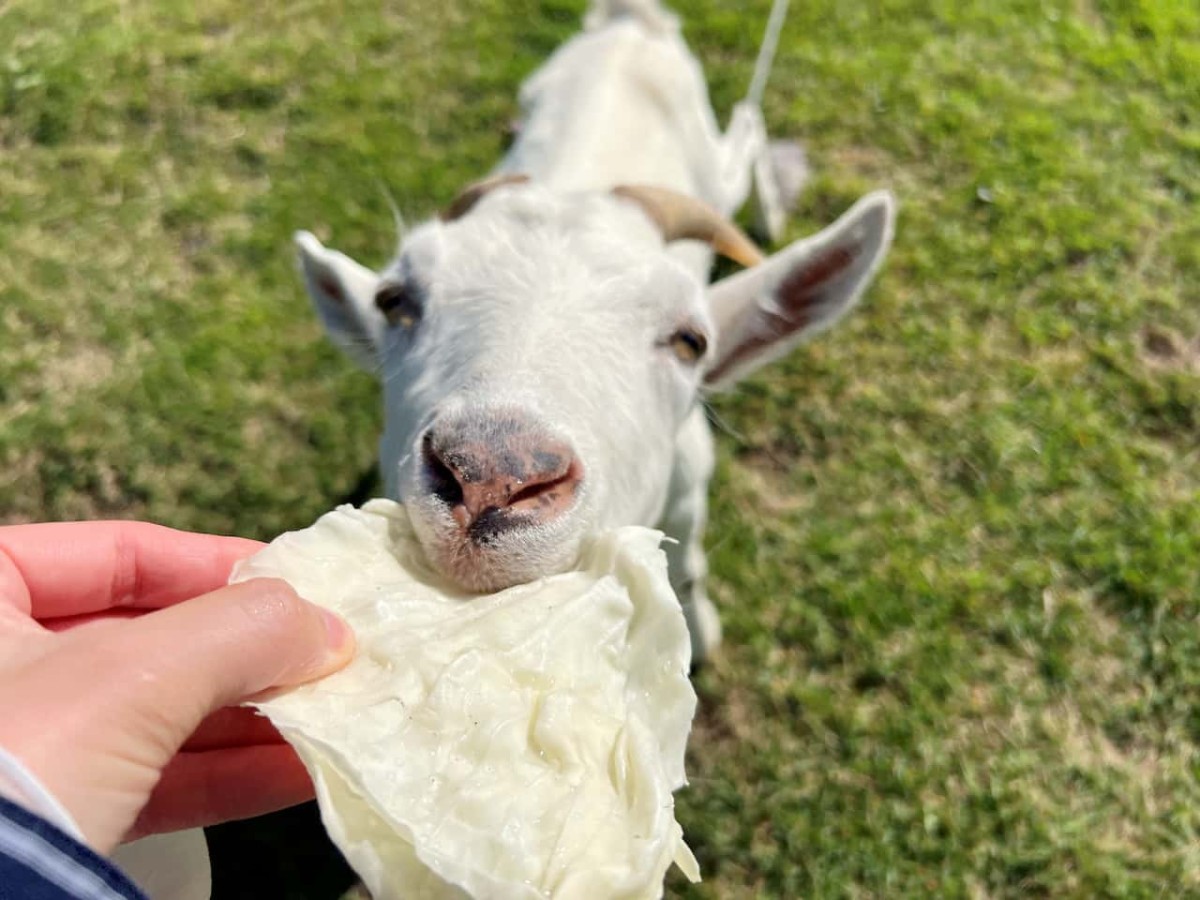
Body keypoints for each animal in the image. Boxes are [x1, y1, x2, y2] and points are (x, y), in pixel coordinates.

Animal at [295, 0, 897, 662]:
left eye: (691, 341)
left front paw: (701, 632)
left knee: (748, 124)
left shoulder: (689, 490)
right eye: (395, 302)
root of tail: (632, 20)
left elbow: (688, 567)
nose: (492, 478)